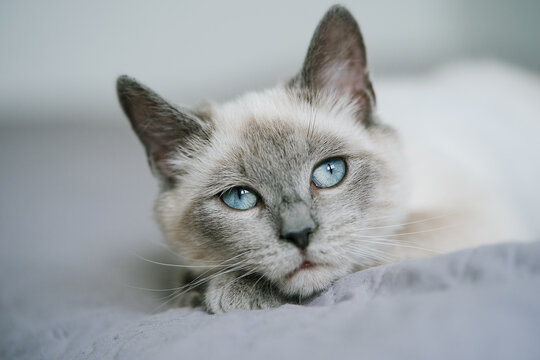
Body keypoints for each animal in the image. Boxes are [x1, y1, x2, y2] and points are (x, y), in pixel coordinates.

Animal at [117, 6, 528, 316]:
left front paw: (223, 291)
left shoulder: (473, 217)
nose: (299, 235)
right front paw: (196, 289)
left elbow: (375, 251)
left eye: (329, 173)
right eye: (240, 198)